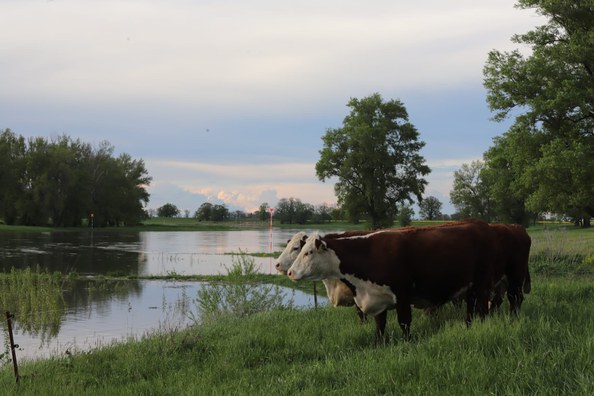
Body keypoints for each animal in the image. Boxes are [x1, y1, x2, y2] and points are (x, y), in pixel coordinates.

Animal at [286, 221, 494, 342]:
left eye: (307, 252)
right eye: (301, 249)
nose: (290, 272)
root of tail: (478, 224)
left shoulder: (402, 295)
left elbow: (404, 323)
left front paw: (408, 343)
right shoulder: (377, 298)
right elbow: (379, 326)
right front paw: (378, 345)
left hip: (482, 284)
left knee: (482, 307)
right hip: (470, 288)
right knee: (471, 307)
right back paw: (468, 326)